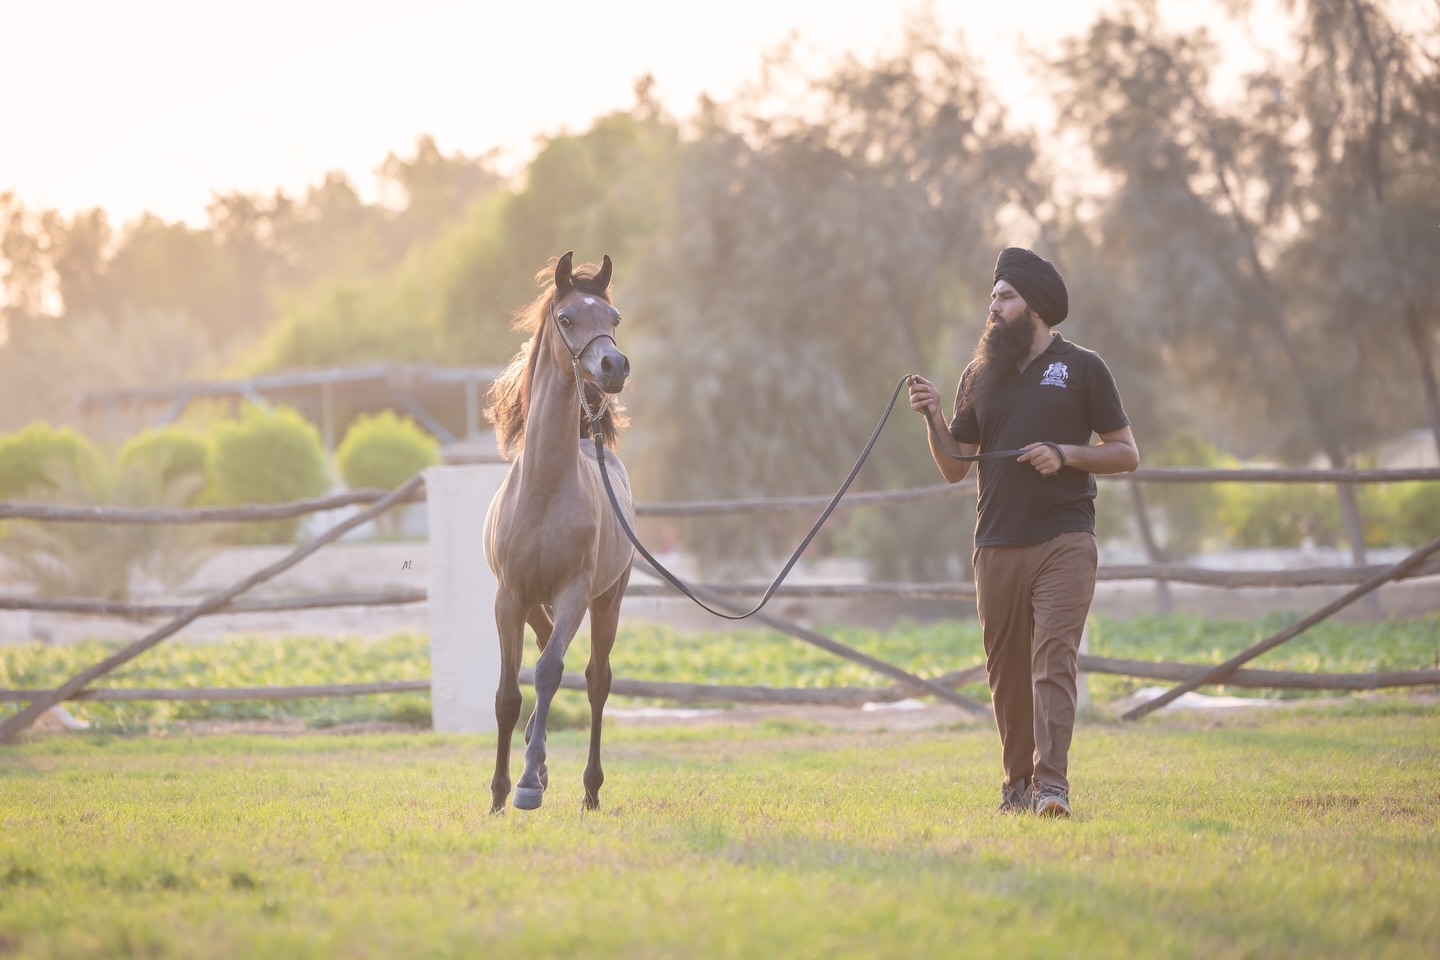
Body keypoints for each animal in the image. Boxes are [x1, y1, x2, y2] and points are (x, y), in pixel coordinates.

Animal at [482, 251, 634, 812]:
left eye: (613, 318)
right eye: (566, 318)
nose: (614, 366)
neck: (546, 488)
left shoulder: (574, 592)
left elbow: (548, 673)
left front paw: (527, 784)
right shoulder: (510, 596)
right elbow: (508, 693)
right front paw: (500, 792)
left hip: (608, 599)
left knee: (594, 680)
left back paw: (590, 789)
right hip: (534, 604)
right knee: (551, 651)